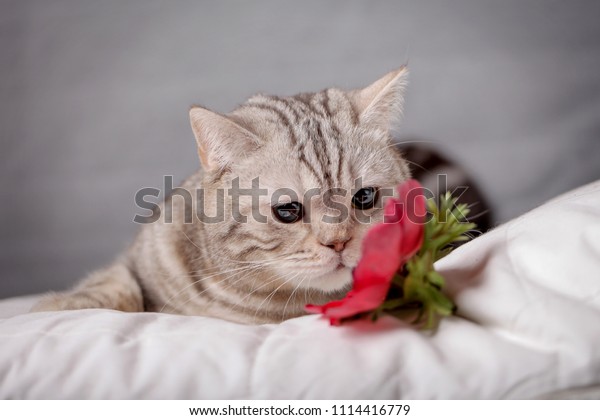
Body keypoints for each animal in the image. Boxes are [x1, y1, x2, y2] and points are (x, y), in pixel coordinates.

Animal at [30, 67, 488, 324]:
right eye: (288, 210)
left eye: (364, 198)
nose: (339, 242)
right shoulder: (139, 259)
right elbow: (116, 287)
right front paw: (57, 306)